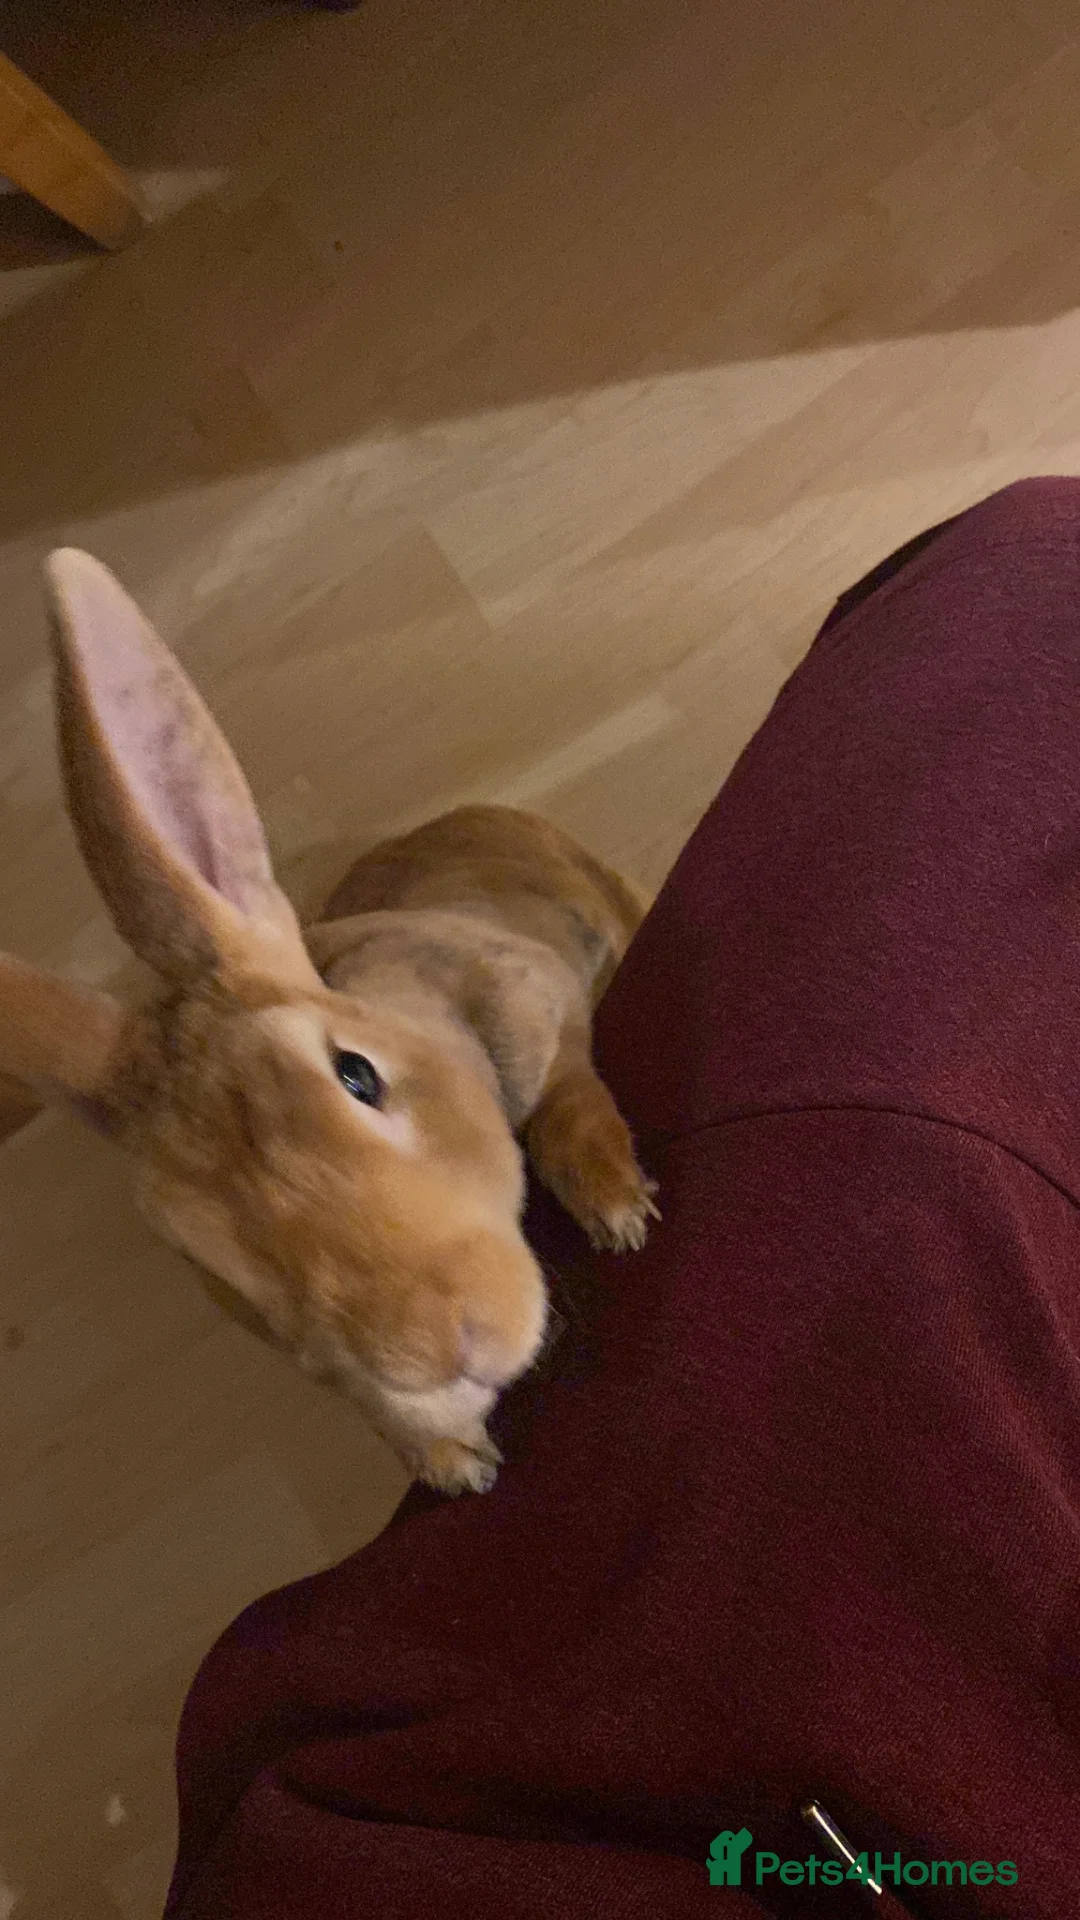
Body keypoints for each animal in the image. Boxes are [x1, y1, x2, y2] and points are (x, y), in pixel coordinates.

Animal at [0, 549, 657, 1494]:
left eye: (357, 1074)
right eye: (203, 1249)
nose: (439, 1347)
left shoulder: (539, 995)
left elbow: (568, 1087)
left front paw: (617, 1211)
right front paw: (451, 1462)